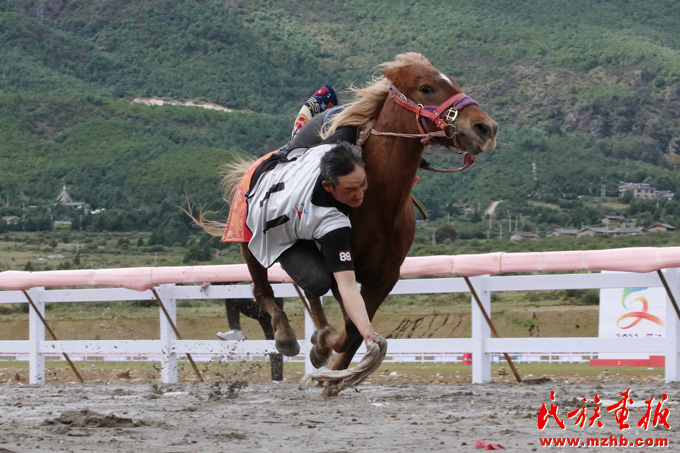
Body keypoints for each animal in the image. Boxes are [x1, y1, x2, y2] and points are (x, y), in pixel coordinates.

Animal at [226, 52, 496, 370]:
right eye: (427, 88)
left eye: (453, 82)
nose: (486, 128)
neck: (377, 202)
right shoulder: (340, 264)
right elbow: (350, 324)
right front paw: (323, 347)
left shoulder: (385, 277)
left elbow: (354, 330)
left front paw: (328, 355)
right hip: (249, 243)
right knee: (263, 289)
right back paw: (286, 335)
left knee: (310, 289)